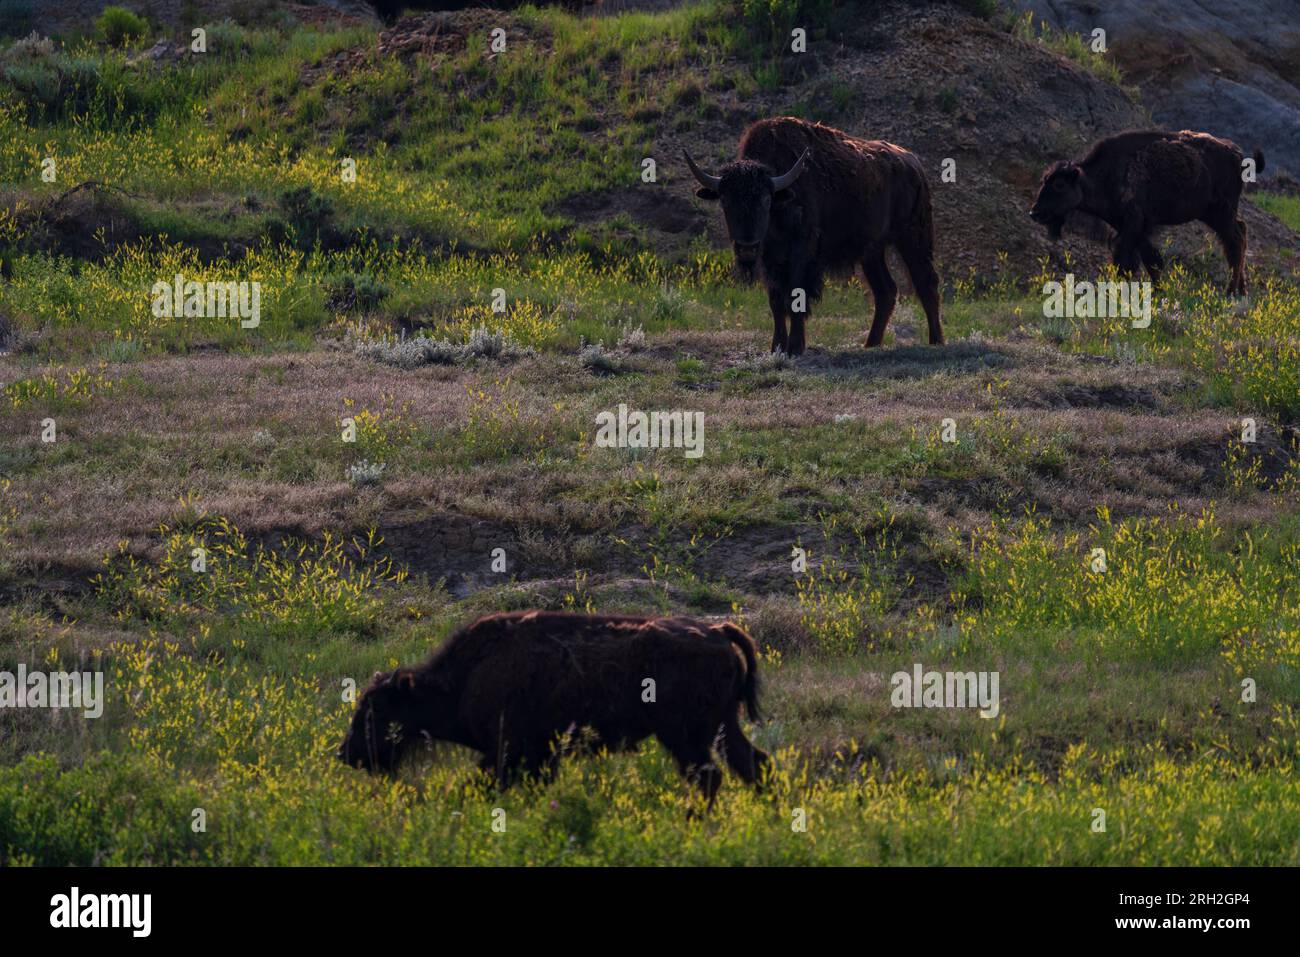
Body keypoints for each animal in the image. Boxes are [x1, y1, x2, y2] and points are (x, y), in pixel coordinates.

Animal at [338, 608, 769, 806]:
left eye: (377, 710)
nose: (346, 754)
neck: (464, 678)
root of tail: (717, 630)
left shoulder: (511, 752)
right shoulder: (536, 756)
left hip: (686, 737)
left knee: (710, 777)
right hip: (721, 727)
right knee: (752, 763)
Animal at [681, 116, 946, 356]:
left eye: (766, 200)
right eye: (725, 201)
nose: (746, 247)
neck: (781, 197)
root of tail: (913, 163)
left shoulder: (802, 252)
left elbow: (796, 295)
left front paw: (796, 347)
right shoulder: (769, 259)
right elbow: (776, 301)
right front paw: (777, 347)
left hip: (913, 239)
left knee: (926, 282)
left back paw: (936, 341)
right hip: (872, 252)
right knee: (886, 291)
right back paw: (871, 344)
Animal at [1029, 128, 1263, 295]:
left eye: (1059, 184)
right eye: (1044, 181)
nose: (1035, 213)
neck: (1103, 176)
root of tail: (1237, 154)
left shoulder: (1133, 224)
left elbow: (1126, 260)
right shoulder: (1134, 227)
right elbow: (1151, 260)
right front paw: (1159, 291)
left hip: (1221, 213)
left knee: (1234, 242)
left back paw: (1231, 292)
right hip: (1211, 214)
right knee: (1240, 234)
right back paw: (1240, 291)